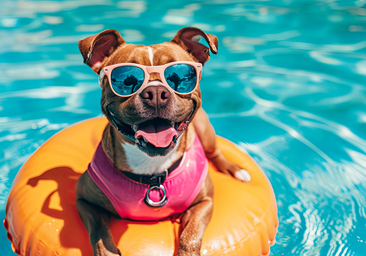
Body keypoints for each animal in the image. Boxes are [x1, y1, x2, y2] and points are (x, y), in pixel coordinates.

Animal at [75, 27, 250, 255]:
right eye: (125, 78)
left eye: (180, 75)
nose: (156, 92)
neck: (153, 167)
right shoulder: (83, 201)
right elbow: (99, 232)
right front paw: (108, 250)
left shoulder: (204, 202)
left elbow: (190, 236)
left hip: (206, 132)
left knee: (215, 152)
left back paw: (235, 170)